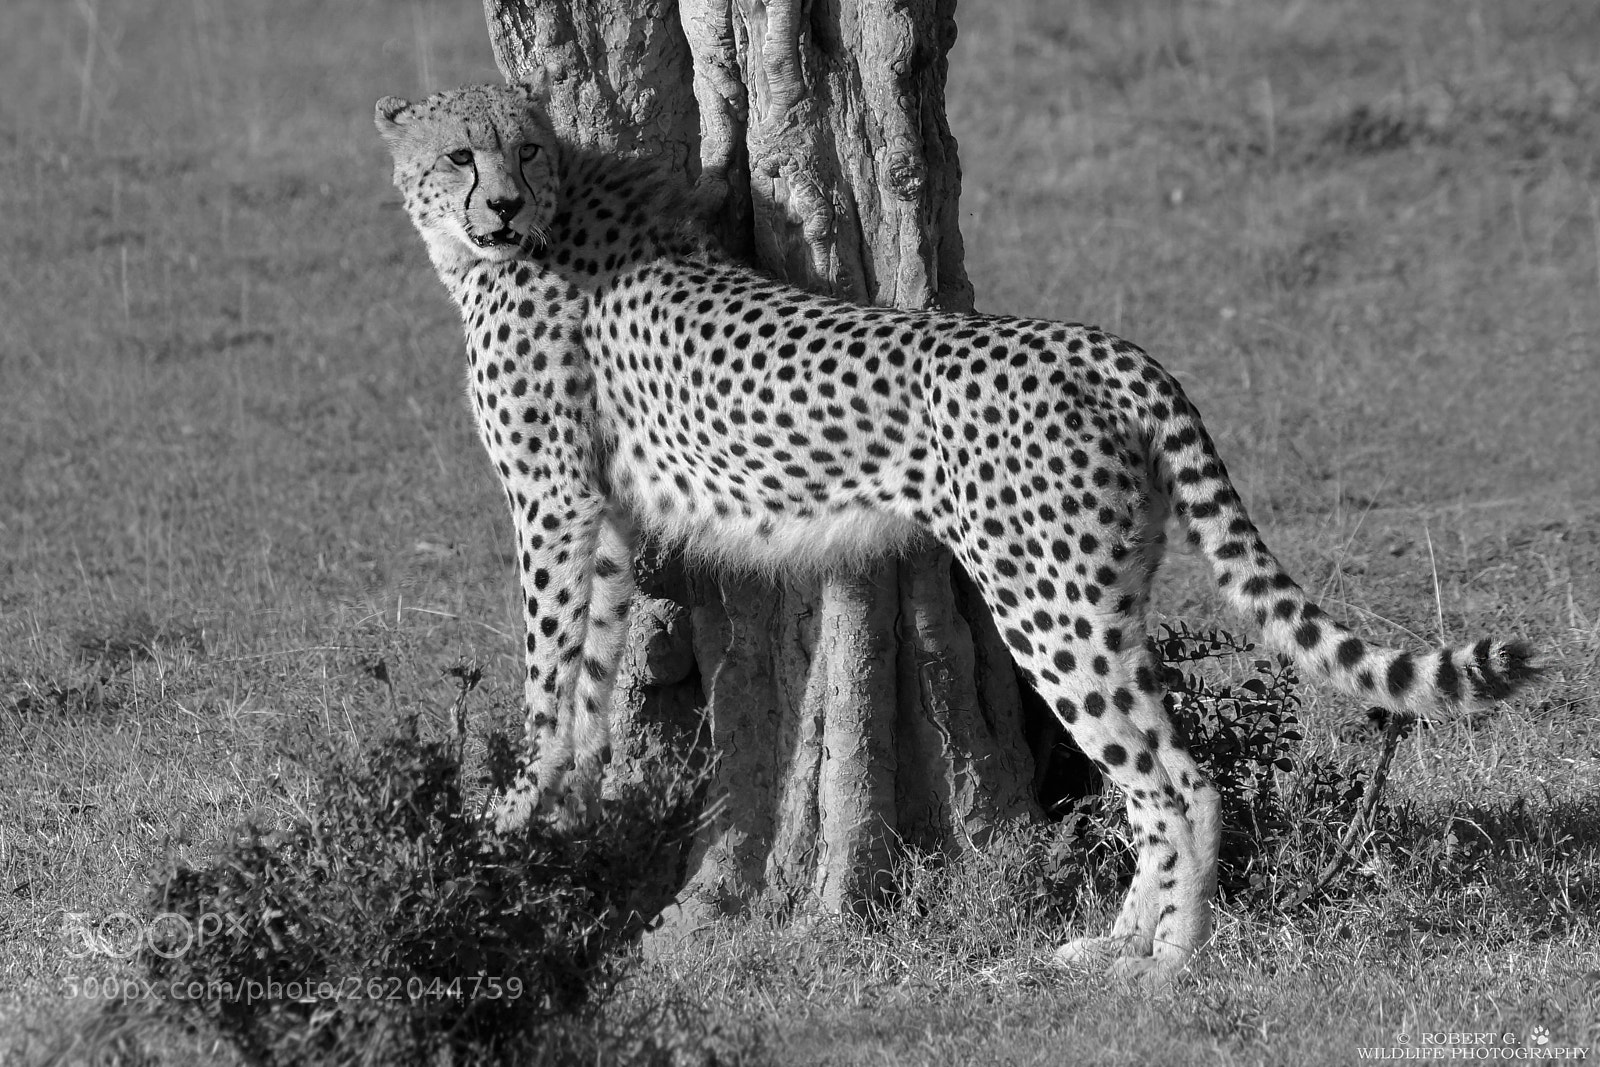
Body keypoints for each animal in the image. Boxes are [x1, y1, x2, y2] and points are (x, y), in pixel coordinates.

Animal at [375, 79, 1538, 985]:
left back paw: (1170, 964)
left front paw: (510, 812)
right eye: (460, 153)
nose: (502, 203)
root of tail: (1105, 346)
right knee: (1158, 777)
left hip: (1043, 602)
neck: (540, 229)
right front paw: (562, 801)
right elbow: (587, 667)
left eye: (523, 147)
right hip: (1101, 592)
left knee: (1170, 780)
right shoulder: (603, 513)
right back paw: (1117, 945)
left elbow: (544, 662)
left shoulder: (552, 499)